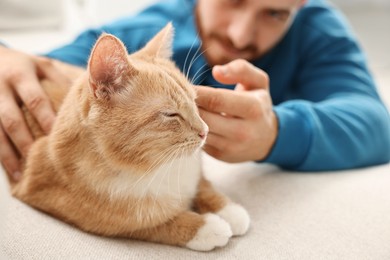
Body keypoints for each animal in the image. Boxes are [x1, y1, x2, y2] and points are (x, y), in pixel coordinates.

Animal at [9, 23, 250, 251]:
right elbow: (151, 224)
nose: (205, 131)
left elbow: (203, 185)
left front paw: (229, 211)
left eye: (195, 102)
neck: (155, 166)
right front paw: (205, 226)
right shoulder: (51, 197)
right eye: (171, 114)